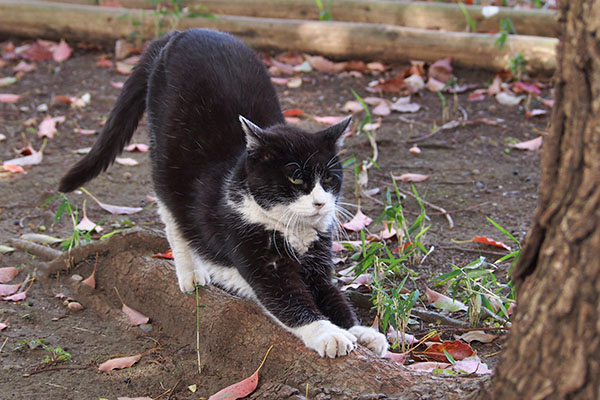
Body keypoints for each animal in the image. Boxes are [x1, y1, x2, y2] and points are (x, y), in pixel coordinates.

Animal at [59, 28, 390, 360]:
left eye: (330, 178)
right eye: (296, 177)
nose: (321, 203)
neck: (289, 227)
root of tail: (182, 32)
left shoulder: (318, 258)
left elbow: (332, 296)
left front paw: (360, 332)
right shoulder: (259, 255)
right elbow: (290, 299)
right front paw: (329, 335)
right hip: (165, 159)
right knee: (174, 215)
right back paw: (191, 272)